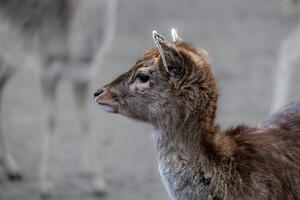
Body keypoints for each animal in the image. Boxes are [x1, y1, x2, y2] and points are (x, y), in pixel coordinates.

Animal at [0, 0, 118, 197]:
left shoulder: (83, 73)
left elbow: (86, 121)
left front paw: (98, 183)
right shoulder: (45, 69)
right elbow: (51, 120)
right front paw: (46, 185)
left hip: (10, 59)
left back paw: (12, 169)